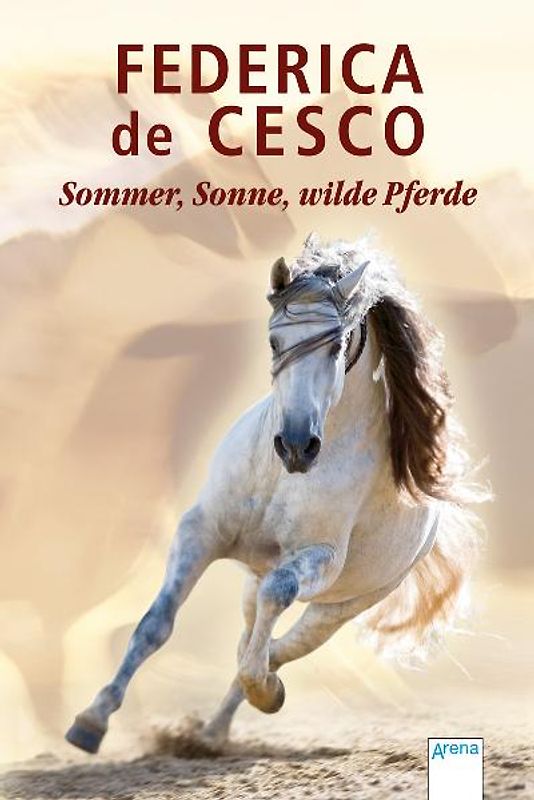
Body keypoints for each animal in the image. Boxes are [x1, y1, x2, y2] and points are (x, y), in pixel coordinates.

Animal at [65, 234, 485, 754]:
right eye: (274, 341)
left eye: (336, 345)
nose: (297, 446)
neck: (280, 476)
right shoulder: (201, 531)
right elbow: (155, 625)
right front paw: (91, 721)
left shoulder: (319, 559)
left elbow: (274, 611)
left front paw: (266, 690)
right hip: (254, 579)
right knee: (251, 631)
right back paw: (210, 731)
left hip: (343, 605)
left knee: (283, 644)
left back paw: (242, 708)